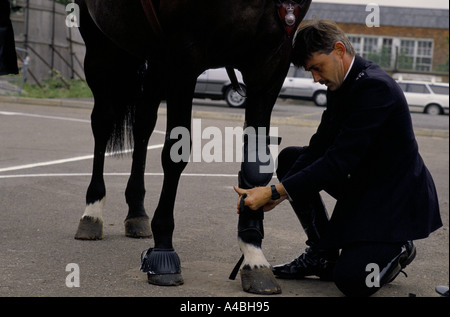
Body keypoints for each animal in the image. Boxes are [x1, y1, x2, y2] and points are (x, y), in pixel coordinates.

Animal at [74, 0, 310, 294]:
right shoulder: (184, 56)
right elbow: (176, 150)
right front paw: (164, 251)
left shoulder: (272, 61)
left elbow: (256, 161)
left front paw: (254, 256)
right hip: (100, 43)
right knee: (103, 120)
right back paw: (92, 211)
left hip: (154, 57)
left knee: (143, 123)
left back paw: (137, 212)